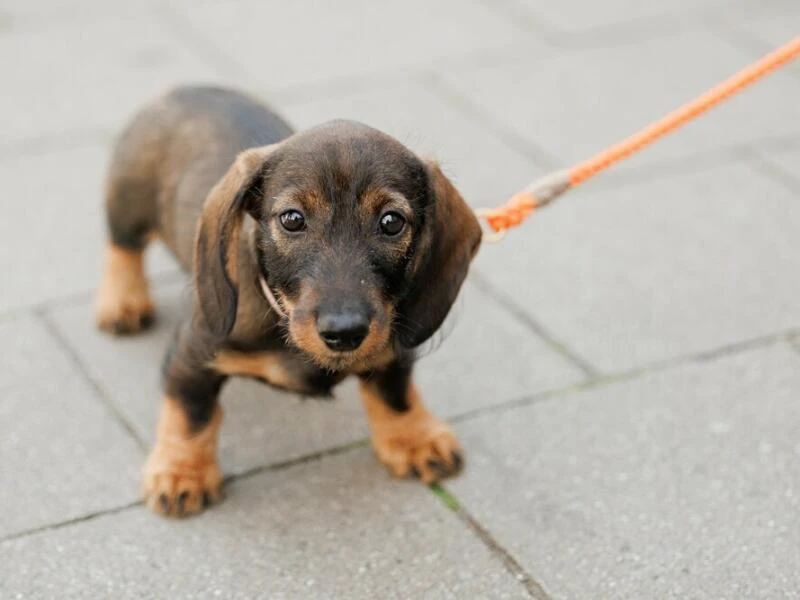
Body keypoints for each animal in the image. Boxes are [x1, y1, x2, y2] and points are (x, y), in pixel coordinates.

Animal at [94, 84, 482, 516]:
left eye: (392, 222)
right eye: (292, 219)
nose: (345, 332)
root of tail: (187, 89)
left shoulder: (391, 341)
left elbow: (395, 392)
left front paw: (414, 437)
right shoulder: (192, 352)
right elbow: (191, 413)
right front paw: (182, 472)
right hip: (128, 202)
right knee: (123, 248)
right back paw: (123, 301)